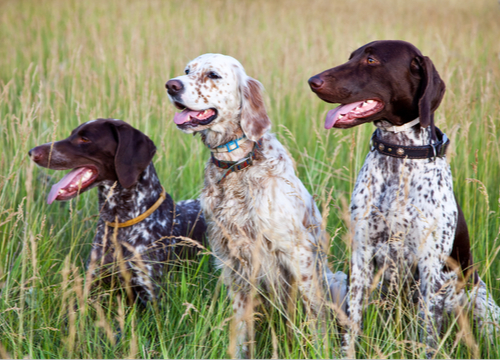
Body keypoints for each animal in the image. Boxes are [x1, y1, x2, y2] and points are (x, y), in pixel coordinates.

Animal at [27, 119, 207, 302]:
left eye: (85, 139)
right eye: (72, 134)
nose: (32, 152)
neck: (119, 221)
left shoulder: (152, 296)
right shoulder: (93, 286)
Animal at [166, 54, 346, 356]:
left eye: (213, 75)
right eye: (187, 71)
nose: (171, 86)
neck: (236, 165)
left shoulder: (298, 253)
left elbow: (316, 317)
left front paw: (321, 351)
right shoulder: (234, 262)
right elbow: (240, 325)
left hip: (337, 280)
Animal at [308, 40, 500, 356]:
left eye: (371, 60)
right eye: (351, 57)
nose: (313, 81)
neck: (398, 154)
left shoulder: (430, 268)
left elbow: (428, 338)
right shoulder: (360, 258)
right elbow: (352, 327)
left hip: (480, 300)